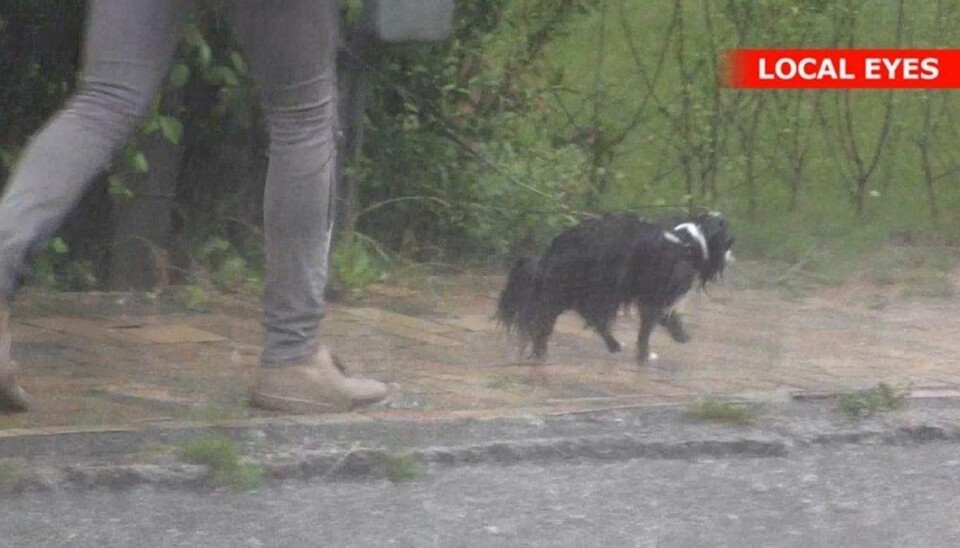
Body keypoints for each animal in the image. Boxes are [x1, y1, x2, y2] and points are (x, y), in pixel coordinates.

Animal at [496, 212, 736, 362]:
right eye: (726, 240)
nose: (732, 251)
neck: (687, 241)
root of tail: (558, 245)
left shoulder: (650, 294)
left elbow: (660, 320)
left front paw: (676, 335)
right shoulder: (656, 293)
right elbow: (651, 324)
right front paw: (647, 352)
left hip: (573, 288)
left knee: (558, 317)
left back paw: (542, 350)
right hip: (597, 285)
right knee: (583, 317)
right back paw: (611, 345)